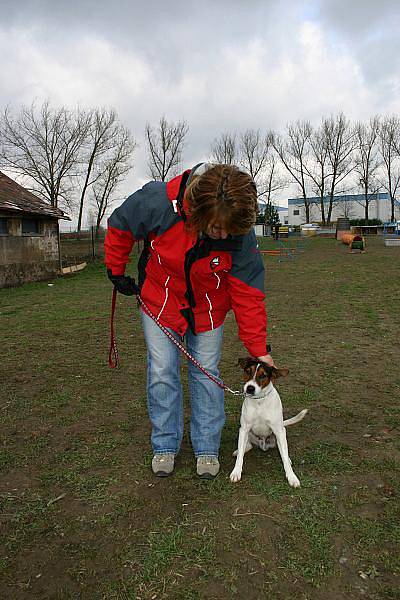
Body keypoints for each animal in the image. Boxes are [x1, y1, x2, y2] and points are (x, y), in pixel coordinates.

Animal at [230, 358, 308, 486]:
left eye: (263, 376)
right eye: (248, 371)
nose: (250, 388)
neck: (259, 401)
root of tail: (263, 445)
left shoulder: (279, 431)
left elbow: (284, 456)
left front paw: (292, 477)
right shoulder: (244, 429)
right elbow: (240, 456)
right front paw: (236, 471)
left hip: (279, 434)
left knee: (283, 451)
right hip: (245, 433)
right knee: (247, 446)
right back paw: (238, 451)